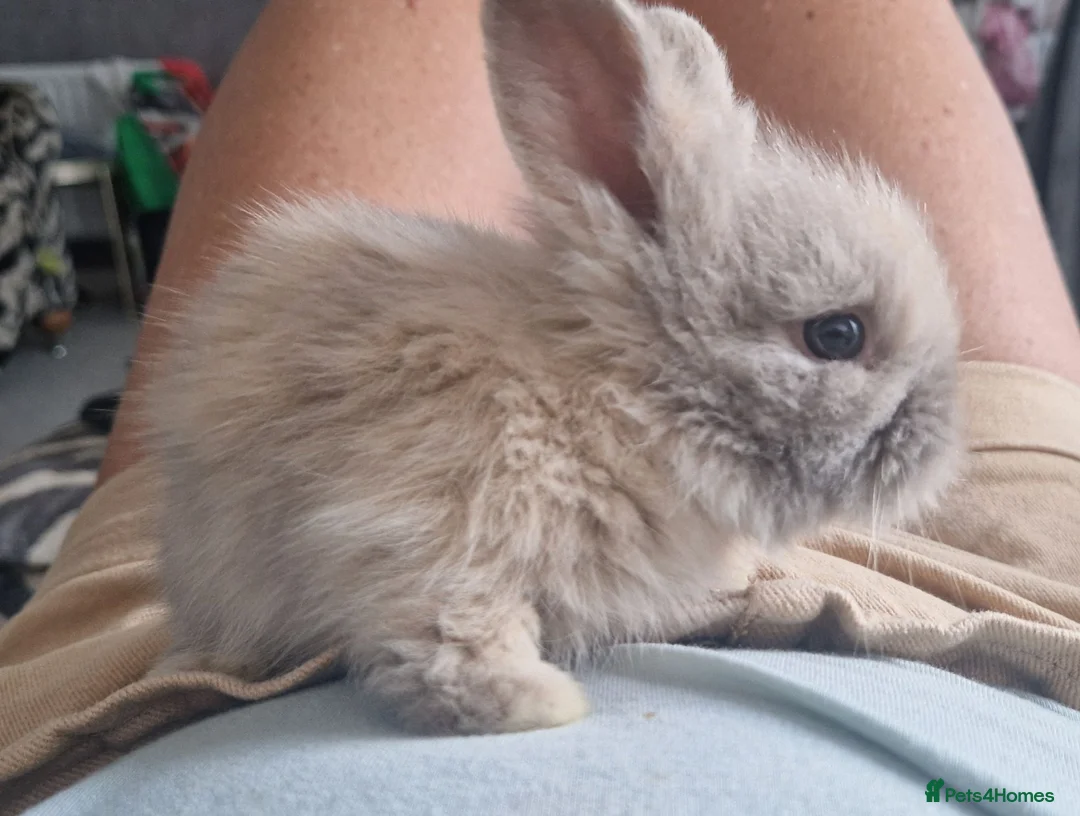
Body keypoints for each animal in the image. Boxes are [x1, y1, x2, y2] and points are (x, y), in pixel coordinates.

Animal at [142, 0, 962, 735]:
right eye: (836, 334)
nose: (944, 445)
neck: (620, 401)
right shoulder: (435, 529)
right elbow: (449, 642)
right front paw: (537, 707)